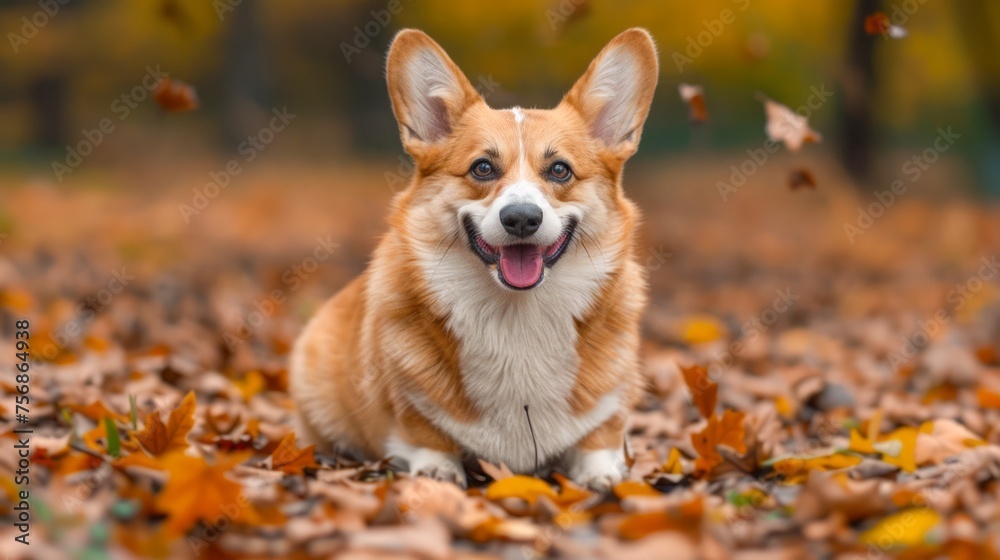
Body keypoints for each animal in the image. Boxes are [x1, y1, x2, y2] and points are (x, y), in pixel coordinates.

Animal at [290, 27, 660, 490]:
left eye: (559, 170)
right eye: (483, 168)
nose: (521, 218)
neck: (517, 316)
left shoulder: (608, 405)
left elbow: (600, 436)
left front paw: (602, 474)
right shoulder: (408, 406)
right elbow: (425, 431)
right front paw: (438, 469)